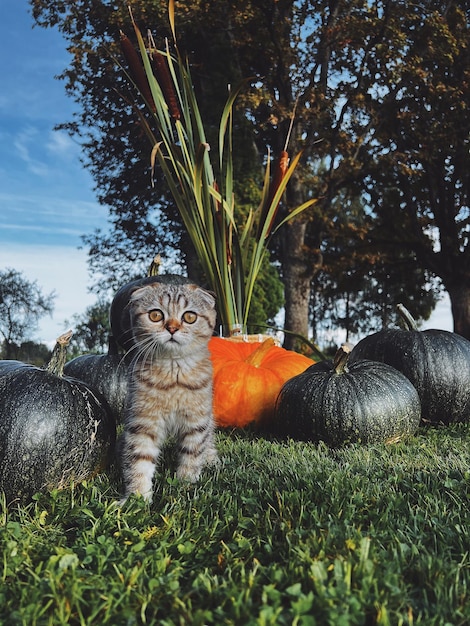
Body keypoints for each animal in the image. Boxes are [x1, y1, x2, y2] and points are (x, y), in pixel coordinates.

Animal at [119, 278, 218, 502]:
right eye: (155, 315)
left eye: (189, 317)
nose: (172, 328)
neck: (173, 376)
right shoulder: (143, 421)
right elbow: (139, 458)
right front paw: (137, 496)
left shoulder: (196, 421)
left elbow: (192, 454)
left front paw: (185, 483)